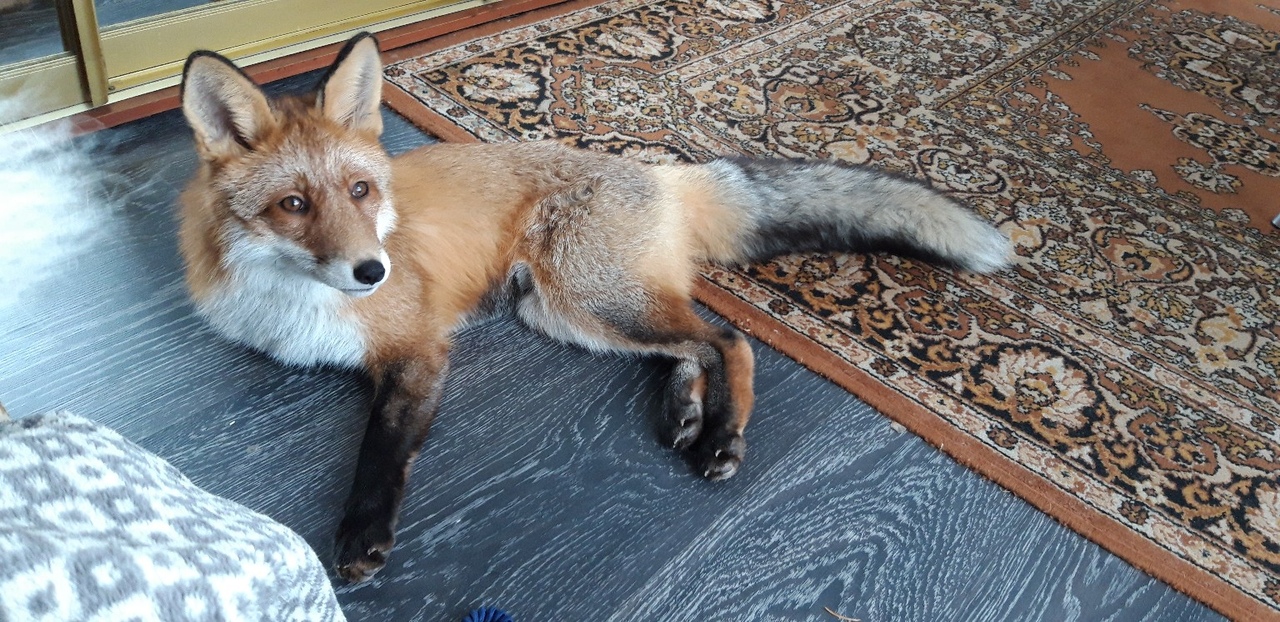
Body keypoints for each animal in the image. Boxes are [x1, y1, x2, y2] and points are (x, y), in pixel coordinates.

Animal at [177, 33, 1012, 582]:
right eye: (293, 204)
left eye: (360, 191)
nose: (373, 270)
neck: (293, 299)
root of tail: (660, 173)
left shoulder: (417, 348)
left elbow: (379, 452)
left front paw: (361, 534)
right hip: (567, 311)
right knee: (694, 346)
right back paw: (685, 411)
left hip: (586, 298)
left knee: (730, 341)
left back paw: (721, 436)